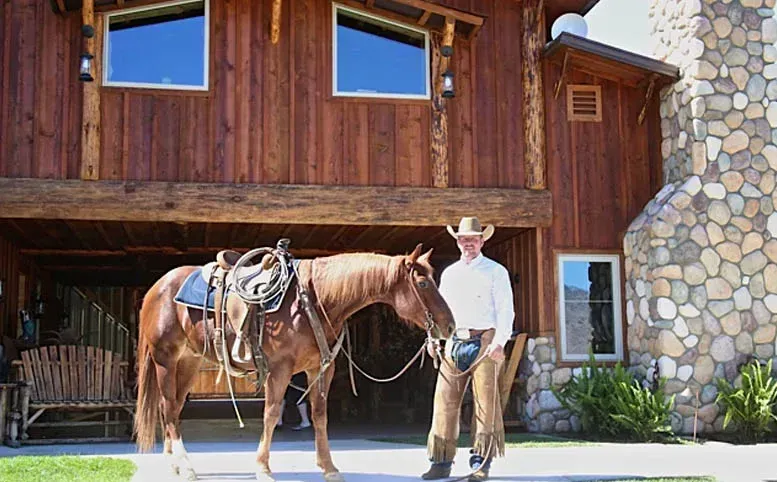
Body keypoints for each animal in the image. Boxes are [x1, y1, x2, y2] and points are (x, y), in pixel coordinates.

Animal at [133, 243, 456, 481]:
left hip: (188, 361)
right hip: (165, 359)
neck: (313, 300)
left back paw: (175, 464)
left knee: (173, 408)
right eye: (423, 283)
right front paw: (263, 468)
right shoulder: (280, 369)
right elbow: (271, 414)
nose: (450, 326)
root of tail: (157, 287)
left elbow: (320, 415)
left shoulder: (321, 369)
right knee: (167, 407)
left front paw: (329, 467)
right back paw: (186, 466)